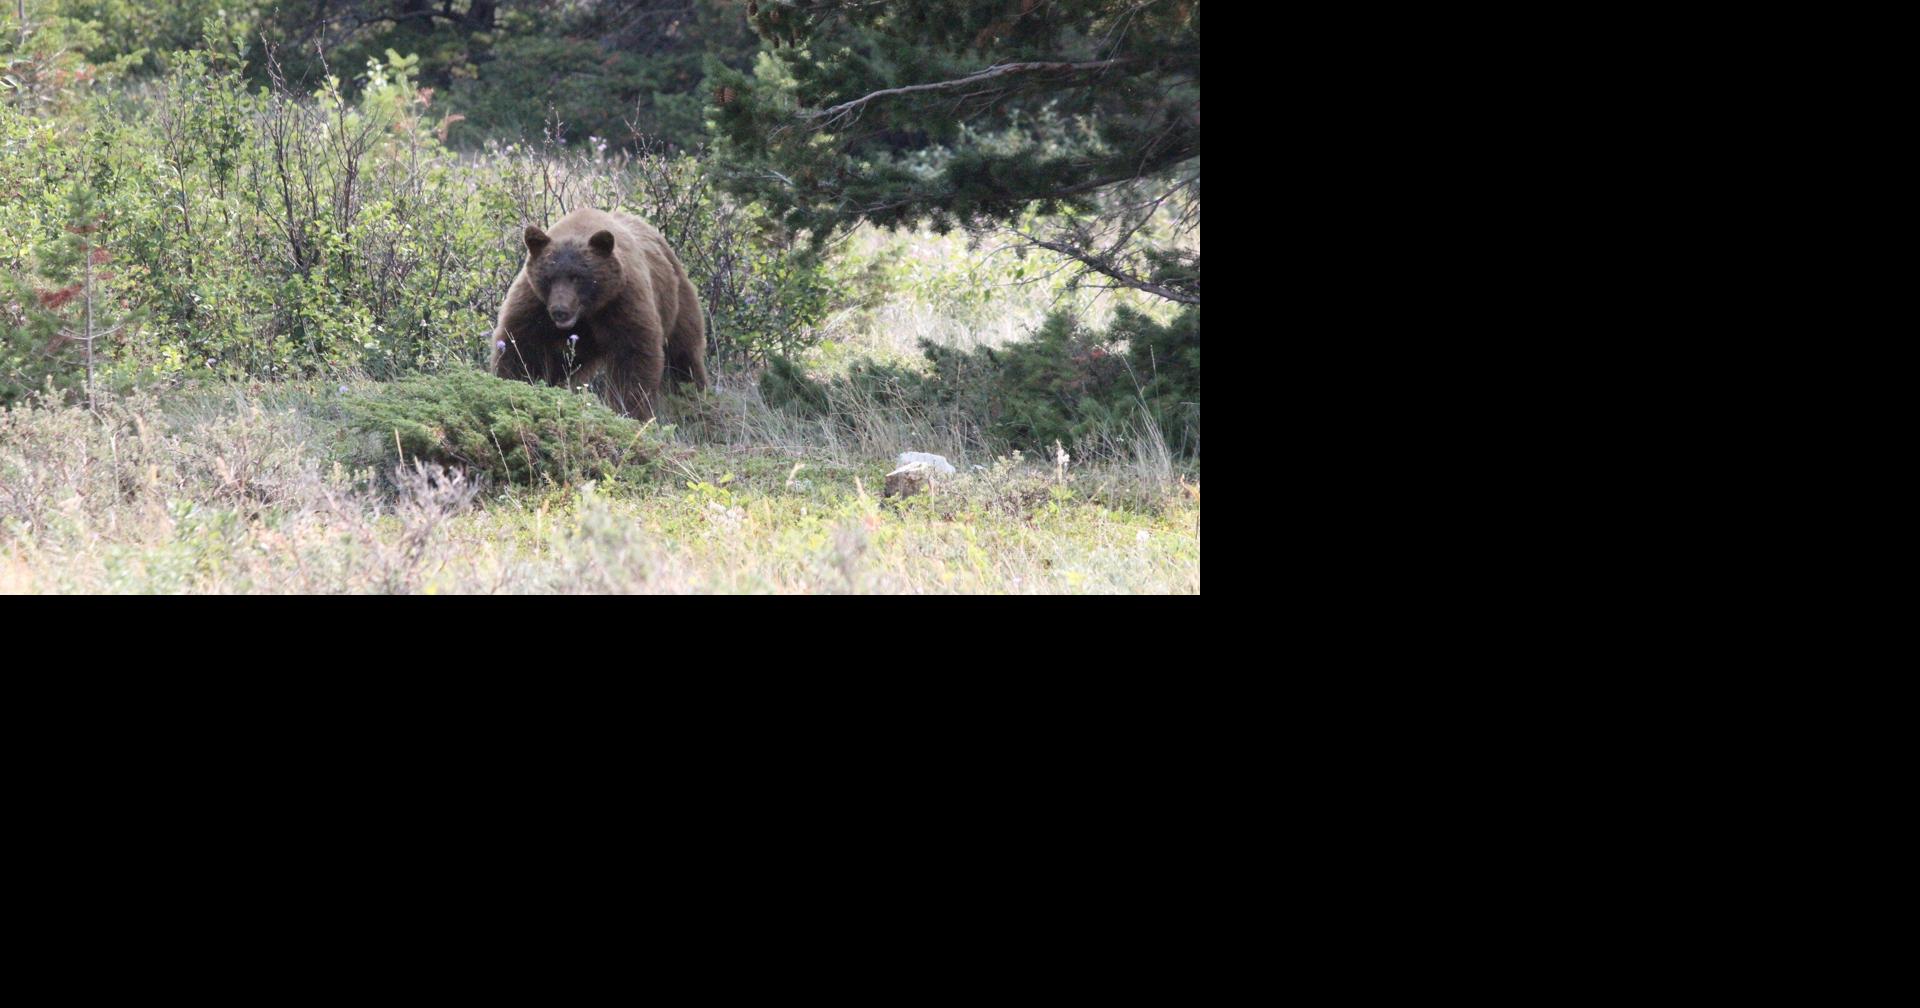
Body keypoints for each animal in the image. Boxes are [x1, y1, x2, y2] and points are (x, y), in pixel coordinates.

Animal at [489, 207, 708, 422]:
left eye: (577, 277)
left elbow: (633, 356)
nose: (559, 311)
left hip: (677, 303)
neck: (588, 312)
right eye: (549, 277)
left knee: (682, 358)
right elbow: (521, 346)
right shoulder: (535, 304)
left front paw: (629, 411)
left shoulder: (622, 301)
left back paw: (694, 401)